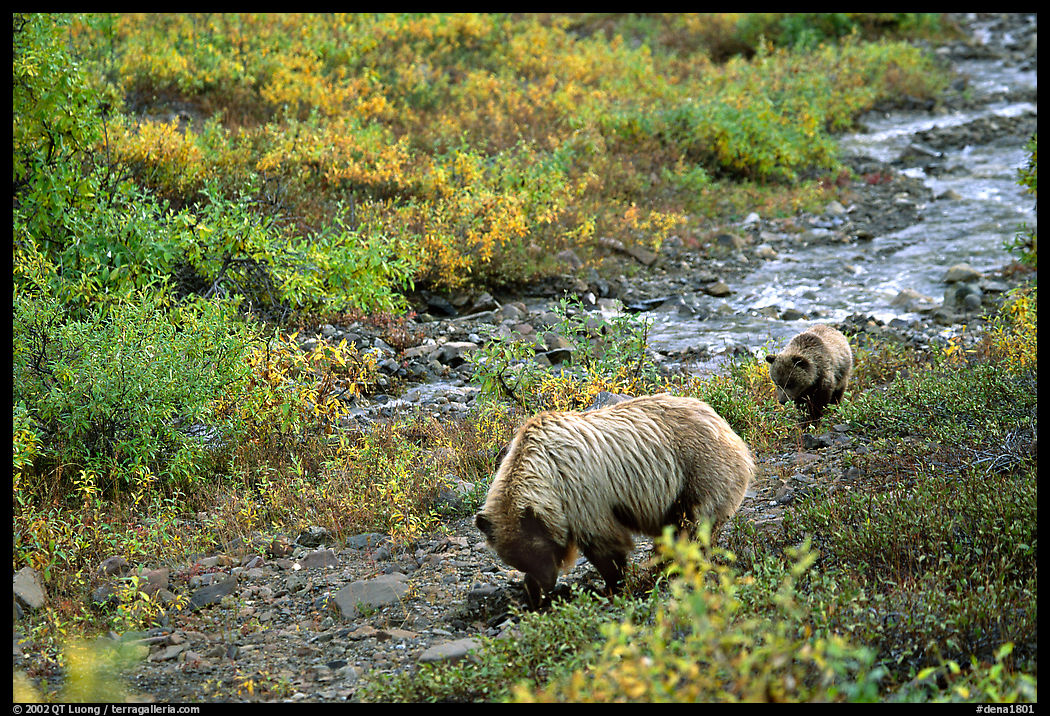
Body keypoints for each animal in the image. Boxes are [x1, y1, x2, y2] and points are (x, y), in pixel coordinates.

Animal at [474, 393, 754, 608]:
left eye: (538, 551)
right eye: (516, 560)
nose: (547, 583)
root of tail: (726, 426)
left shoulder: (582, 492)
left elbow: (604, 543)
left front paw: (612, 585)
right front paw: (532, 592)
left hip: (697, 471)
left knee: (692, 526)